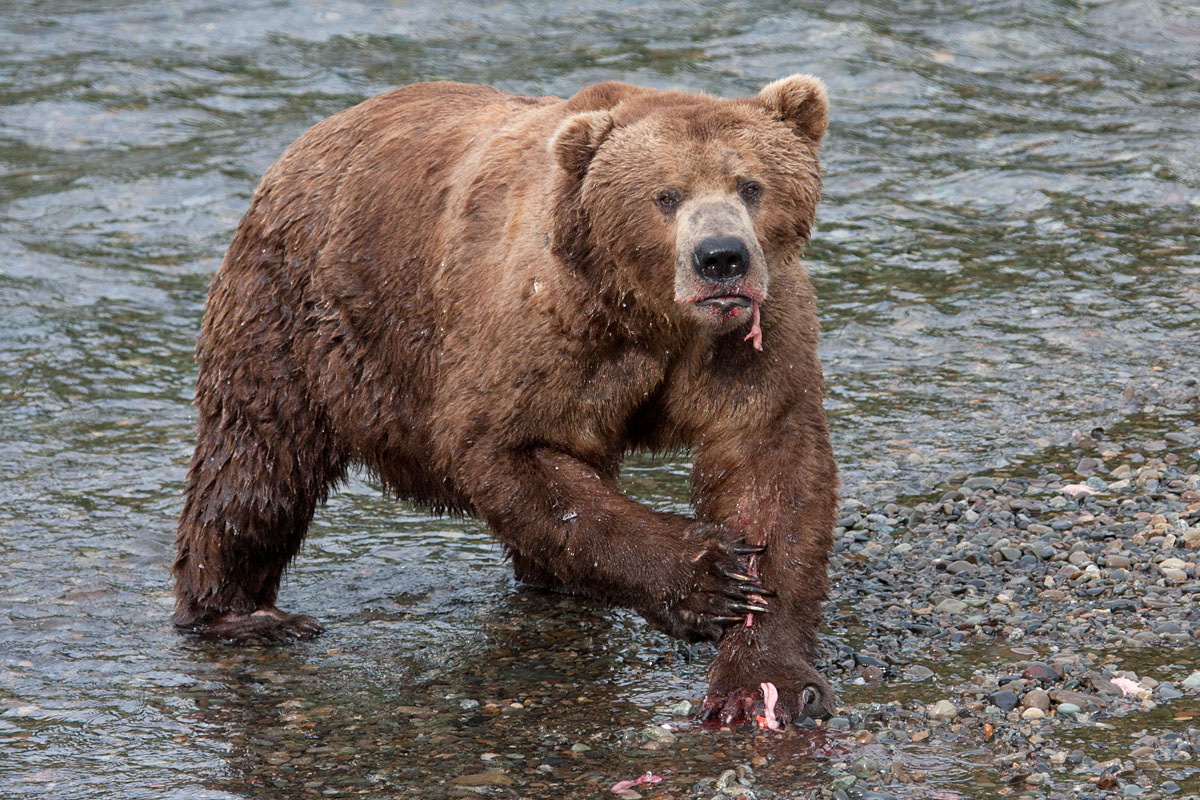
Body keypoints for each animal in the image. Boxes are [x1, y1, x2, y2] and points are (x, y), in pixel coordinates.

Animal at [173, 76, 838, 726]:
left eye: (750, 184)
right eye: (665, 195)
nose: (721, 257)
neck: (652, 316)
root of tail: (306, 142)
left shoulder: (750, 344)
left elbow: (771, 469)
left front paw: (763, 680)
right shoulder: (543, 327)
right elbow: (508, 449)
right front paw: (706, 574)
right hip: (293, 314)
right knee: (258, 463)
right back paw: (242, 613)